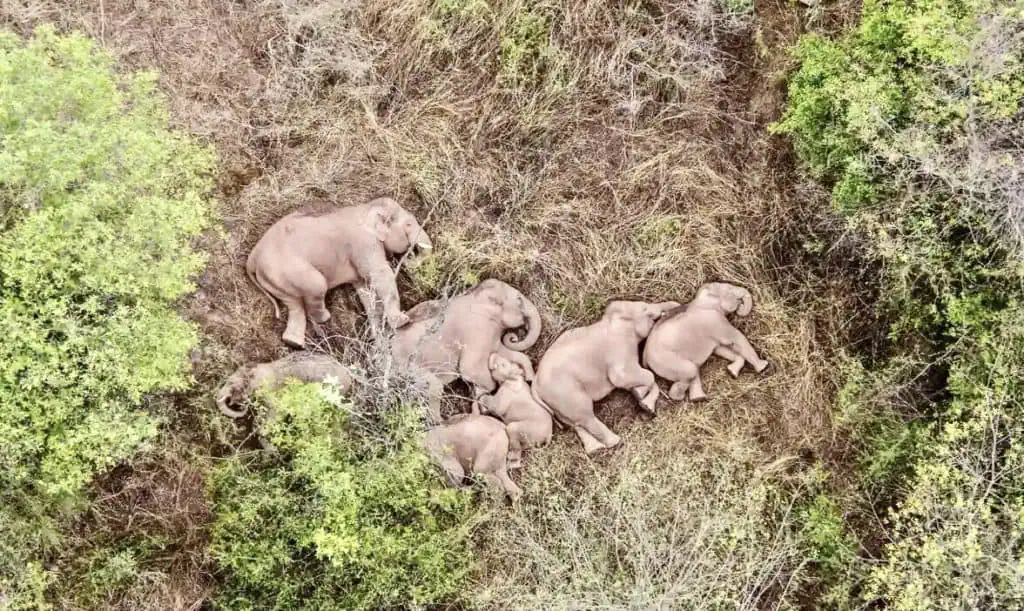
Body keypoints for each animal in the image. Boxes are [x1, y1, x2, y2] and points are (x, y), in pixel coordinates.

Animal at [389, 278, 540, 421]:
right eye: (519, 301)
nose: (514, 337)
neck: (476, 295)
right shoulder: (476, 330)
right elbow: (469, 369)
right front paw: (483, 396)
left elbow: (505, 352)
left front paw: (528, 377)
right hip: (407, 365)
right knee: (435, 386)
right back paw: (442, 420)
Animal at [528, 300, 679, 452]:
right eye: (644, 308)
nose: (676, 306)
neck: (612, 319)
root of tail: (535, 384)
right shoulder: (619, 348)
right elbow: (627, 377)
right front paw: (641, 396)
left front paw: (643, 401)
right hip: (566, 393)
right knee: (585, 415)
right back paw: (615, 442)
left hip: (557, 402)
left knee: (575, 422)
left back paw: (595, 448)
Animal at [638, 280, 770, 401]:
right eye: (729, 289)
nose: (740, 307)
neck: (701, 299)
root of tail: (644, 356)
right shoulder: (715, 321)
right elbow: (736, 338)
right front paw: (763, 366)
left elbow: (720, 349)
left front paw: (732, 371)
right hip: (666, 361)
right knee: (690, 371)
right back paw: (681, 397)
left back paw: (698, 398)